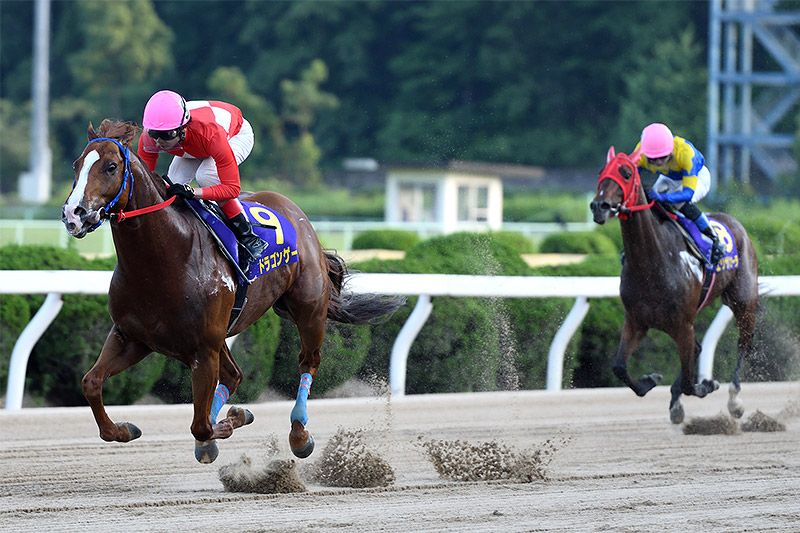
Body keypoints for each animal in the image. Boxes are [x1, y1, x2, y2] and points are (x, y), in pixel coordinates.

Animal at [61, 120, 406, 462]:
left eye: (110, 166)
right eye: (77, 165)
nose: (73, 214)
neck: (164, 260)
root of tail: (295, 211)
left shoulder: (203, 349)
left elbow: (201, 425)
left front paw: (228, 422)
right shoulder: (132, 338)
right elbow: (91, 383)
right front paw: (123, 429)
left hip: (308, 310)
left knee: (308, 362)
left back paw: (299, 433)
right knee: (234, 375)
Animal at [592, 148, 760, 422]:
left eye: (626, 173)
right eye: (601, 173)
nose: (599, 206)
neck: (653, 262)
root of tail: (734, 222)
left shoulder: (683, 325)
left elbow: (691, 384)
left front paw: (707, 384)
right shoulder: (636, 321)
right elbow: (619, 368)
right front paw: (650, 380)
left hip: (744, 302)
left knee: (743, 344)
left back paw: (734, 400)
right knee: (699, 348)